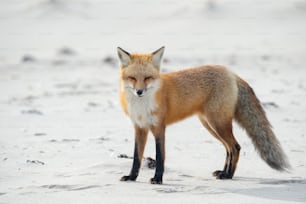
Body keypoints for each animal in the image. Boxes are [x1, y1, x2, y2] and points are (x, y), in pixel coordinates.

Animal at [116, 46, 290, 185]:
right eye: (132, 78)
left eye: (147, 78)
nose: (139, 91)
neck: (142, 105)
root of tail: (231, 73)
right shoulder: (140, 128)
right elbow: (136, 157)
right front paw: (132, 177)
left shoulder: (159, 127)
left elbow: (160, 156)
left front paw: (158, 179)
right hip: (210, 125)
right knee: (229, 148)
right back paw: (224, 172)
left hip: (217, 123)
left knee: (235, 146)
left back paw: (228, 175)